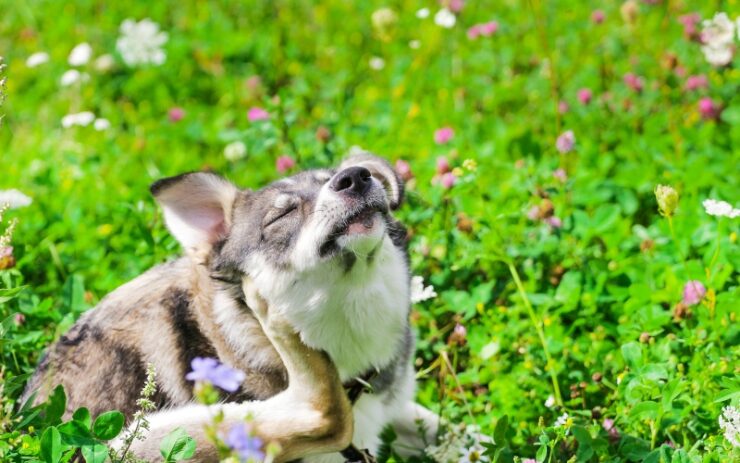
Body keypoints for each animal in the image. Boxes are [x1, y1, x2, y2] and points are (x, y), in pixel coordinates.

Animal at [23, 153, 440, 463]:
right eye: (281, 215)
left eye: (337, 176)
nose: (356, 176)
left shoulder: (395, 407)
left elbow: (447, 430)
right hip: (149, 441)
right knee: (322, 412)